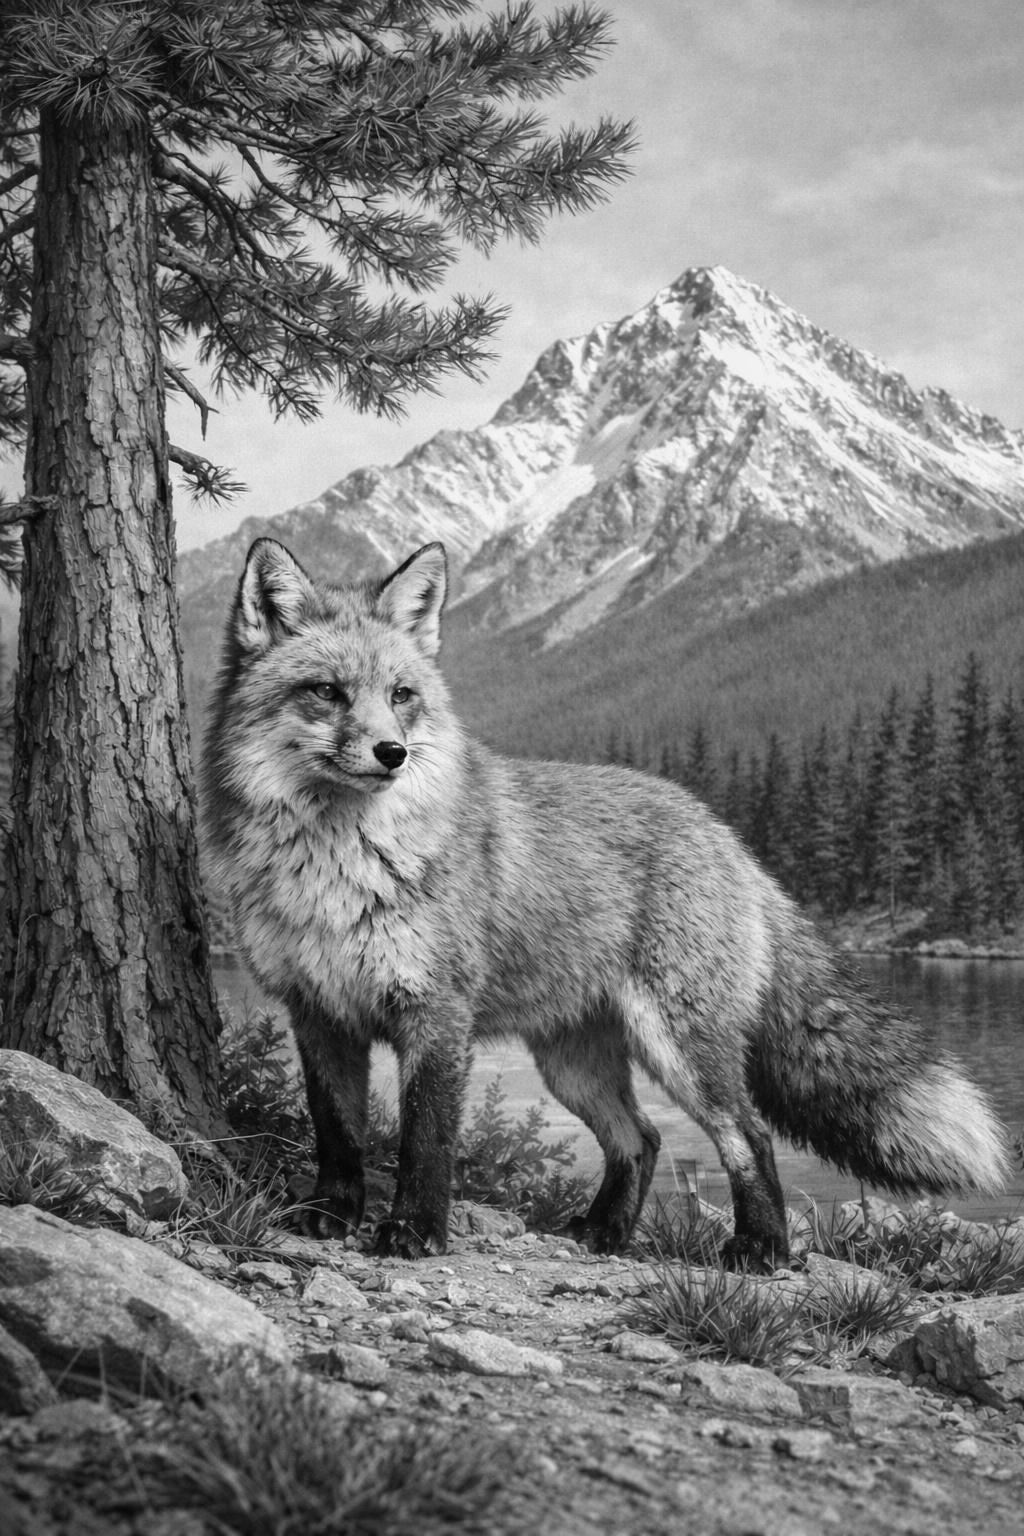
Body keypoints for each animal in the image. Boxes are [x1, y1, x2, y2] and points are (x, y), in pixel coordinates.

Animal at [202, 537, 1011, 1267]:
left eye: (401, 696)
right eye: (327, 692)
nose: (392, 754)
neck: (335, 870)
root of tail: (726, 833)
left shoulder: (436, 1013)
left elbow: (424, 1141)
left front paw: (414, 1232)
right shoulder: (318, 1011)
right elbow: (337, 1132)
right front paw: (330, 1212)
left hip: (681, 1048)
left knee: (748, 1135)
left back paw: (763, 1247)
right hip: (573, 1065)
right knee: (641, 1139)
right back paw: (605, 1232)